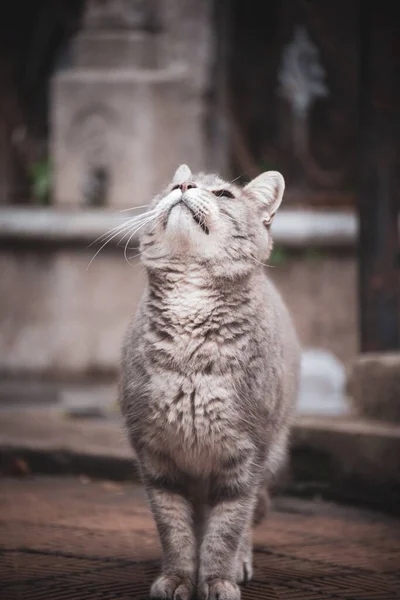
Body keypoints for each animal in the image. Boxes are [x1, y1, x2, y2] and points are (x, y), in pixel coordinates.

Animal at [119, 164, 300, 600]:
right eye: (172, 186)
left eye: (223, 194)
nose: (184, 186)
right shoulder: (156, 458)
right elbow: (175, 529)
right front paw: (178, 578)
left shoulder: (246, 459)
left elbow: (227, 529)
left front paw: (218, 579)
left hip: (270, 458)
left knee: (245, 520)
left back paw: (239, 564)